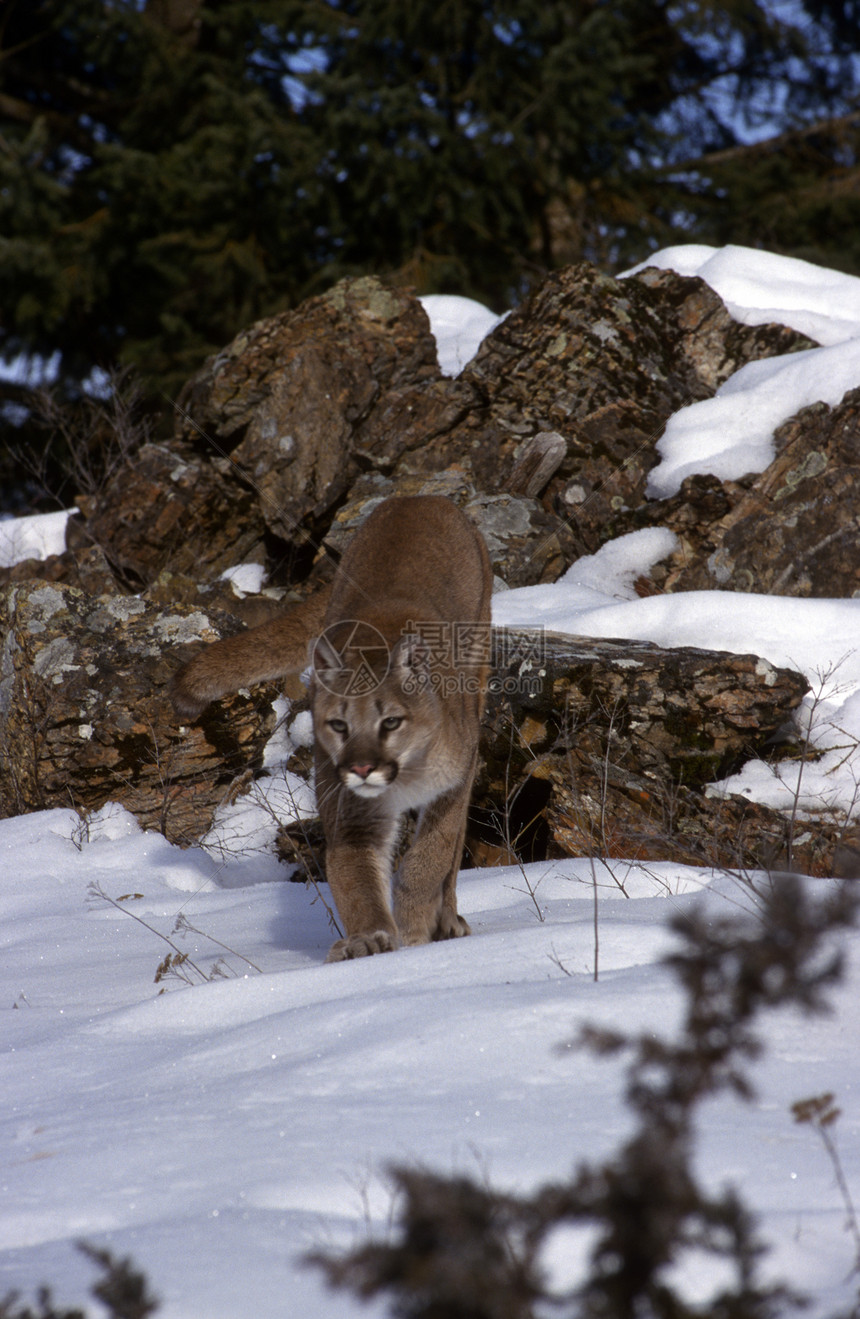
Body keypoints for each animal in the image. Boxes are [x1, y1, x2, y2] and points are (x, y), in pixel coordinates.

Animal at [171, 495, 490, 960]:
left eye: (390, 722)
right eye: (339, 724)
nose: (361, 768)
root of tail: (417, 497)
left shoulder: (455, 781)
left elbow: (431, 856)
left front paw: (414, 928)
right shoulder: (354, 816)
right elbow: (353, 878)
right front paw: (368, 941)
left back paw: (447, 918)